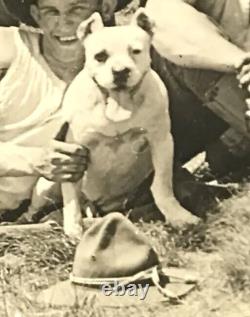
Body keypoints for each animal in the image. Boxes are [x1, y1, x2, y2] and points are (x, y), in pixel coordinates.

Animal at [26, 8, 199, 237]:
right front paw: (73, 229)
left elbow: (162, 184)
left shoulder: (161, 141)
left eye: (136, 51)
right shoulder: (73, 154)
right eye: (100, 56)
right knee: (39, 206)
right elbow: (71, 196)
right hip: (44, 186)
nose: (120, 71)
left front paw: (178, 216)